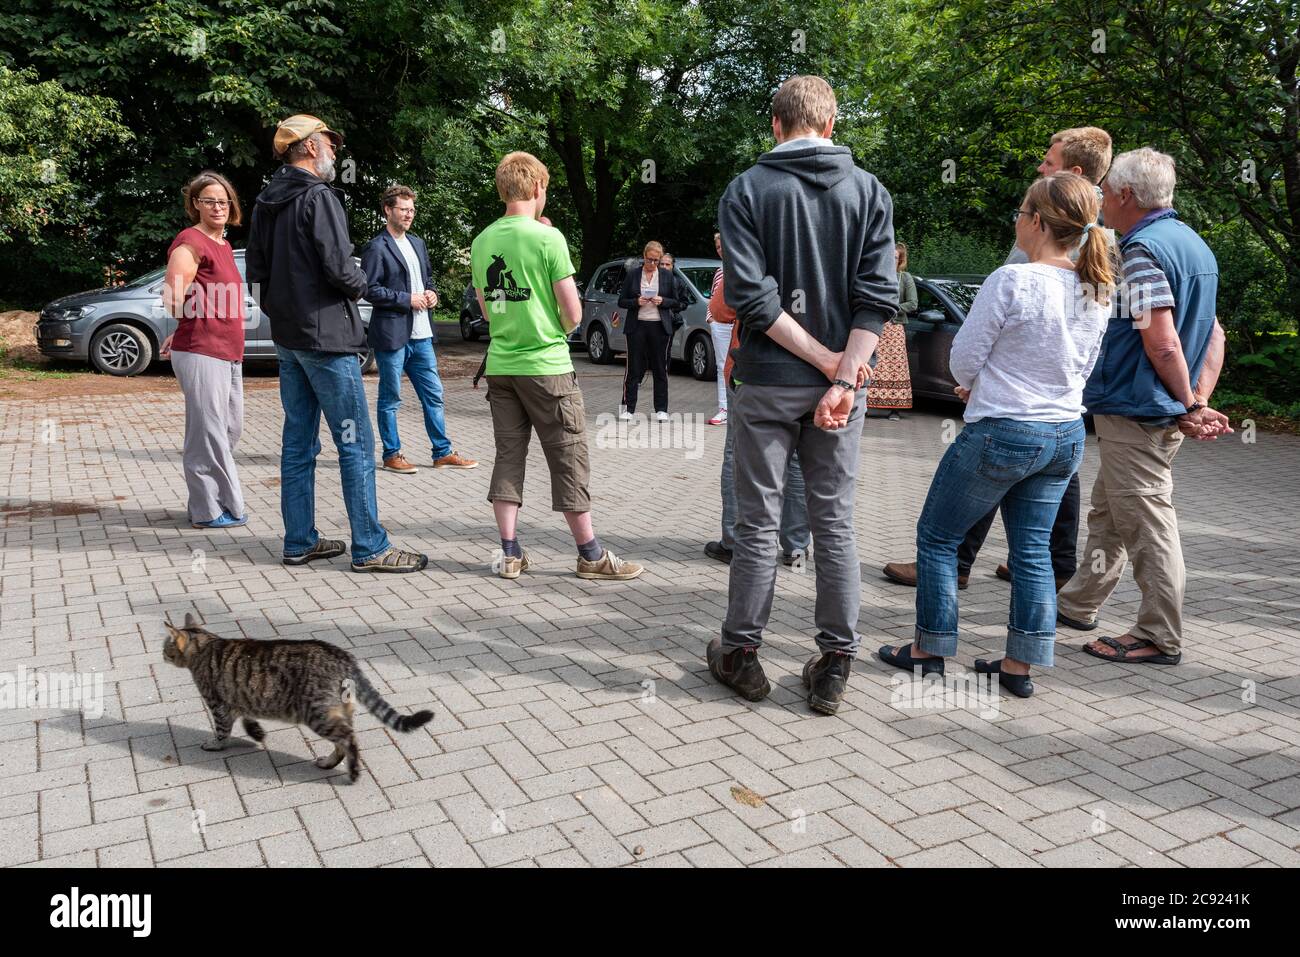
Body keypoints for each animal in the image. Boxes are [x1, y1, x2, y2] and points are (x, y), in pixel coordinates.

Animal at [162, 616, 431, 780]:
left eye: (166, 646)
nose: (161, 655)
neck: (205, 645)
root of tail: (343, 656)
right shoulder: (240, 699)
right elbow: (247, 719)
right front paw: (257, 733)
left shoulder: (218, 703)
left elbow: (222, 730)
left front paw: (216, 744)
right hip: (339, 711)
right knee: (343, 742)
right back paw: (328, 763)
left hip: (318, 714)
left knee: (349, 739)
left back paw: (353, 772)